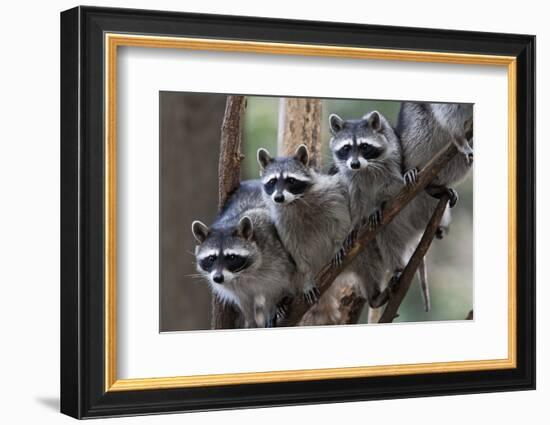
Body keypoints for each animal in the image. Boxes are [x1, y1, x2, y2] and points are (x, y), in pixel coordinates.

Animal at [193, 179, 298, 328]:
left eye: (231, 257)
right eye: (211, 258)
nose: (218, 278)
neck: (242, 274)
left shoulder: (276, 256)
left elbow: (276, 287)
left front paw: (272, 307)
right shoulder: (233, 285)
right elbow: (244, 302)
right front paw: (250, 320)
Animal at [258, 145, 354, 304]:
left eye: (291, 180)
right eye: (272, 181)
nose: (278, 198)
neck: (295, 200)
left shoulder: (331, 193)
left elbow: (342, 219)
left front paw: (339, 242)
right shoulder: (283, 223)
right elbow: (296, 251)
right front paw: (307, 277)